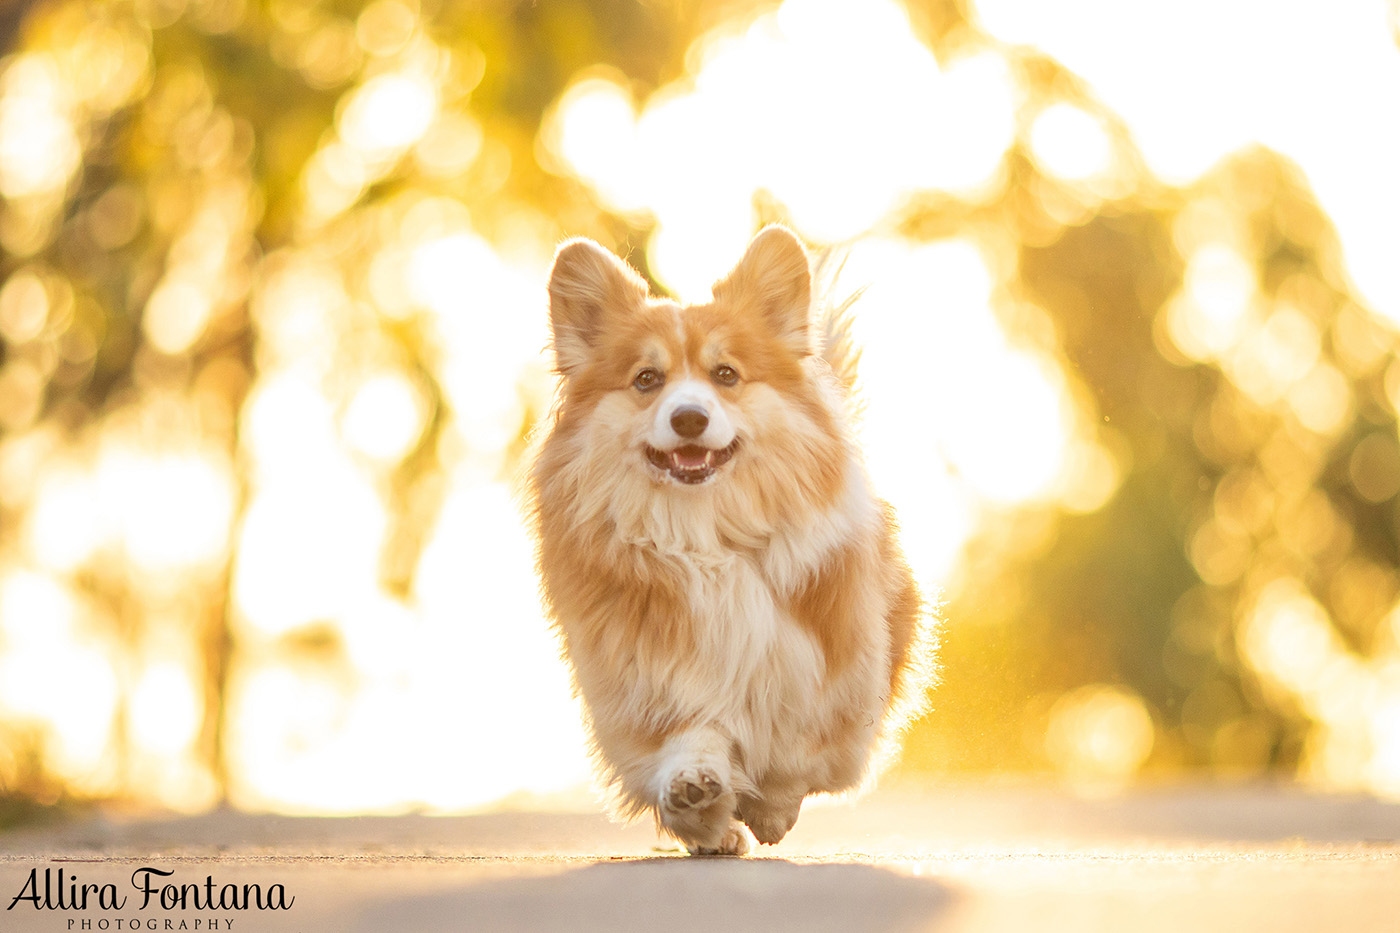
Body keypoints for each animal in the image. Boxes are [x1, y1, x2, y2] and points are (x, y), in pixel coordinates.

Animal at [529, 224, 935, 851]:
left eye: (726, 375)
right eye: (647, 380)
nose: (689, 419)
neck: (705, 539)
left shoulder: (832, 672)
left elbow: (799, 750)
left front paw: (769, 809)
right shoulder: (645, 683)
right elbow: (689, 737)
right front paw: (696, 792)